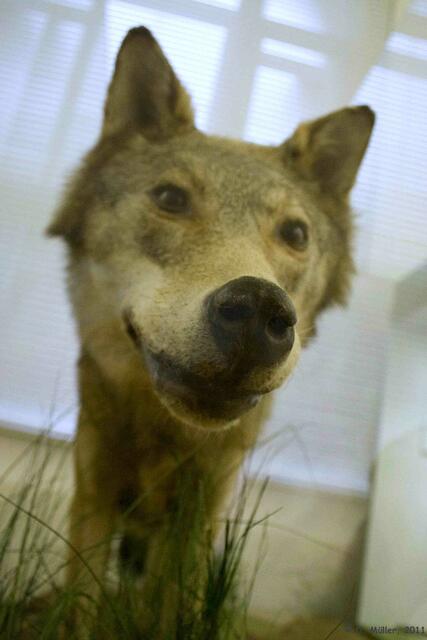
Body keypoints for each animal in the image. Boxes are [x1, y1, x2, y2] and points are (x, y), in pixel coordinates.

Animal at [48, 26, 374, 634]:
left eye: (295, 234)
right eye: (171, 199)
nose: (259, 307)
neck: (163, 433)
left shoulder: (199, 521)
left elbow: (174, 612)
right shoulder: (93, 497)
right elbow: (80, 609)